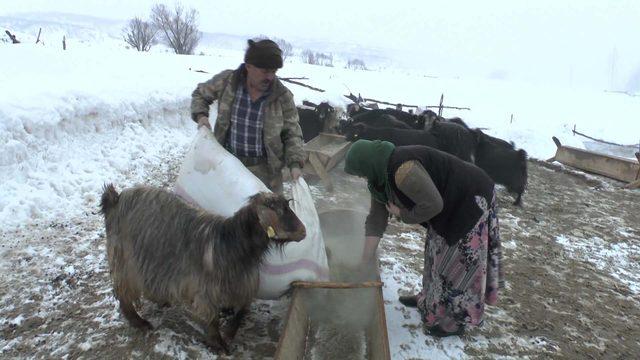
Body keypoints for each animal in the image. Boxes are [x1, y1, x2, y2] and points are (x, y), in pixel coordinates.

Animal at [100, 184, 308, 352]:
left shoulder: (242, 286)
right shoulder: (206, 291)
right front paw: (219, 344)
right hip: (125, 261)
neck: (230, 244)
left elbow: (241, 311)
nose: (303, 232)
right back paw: (140, 322)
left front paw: (229, 332)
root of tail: (115, 199)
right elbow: (212, 319)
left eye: (287, 206)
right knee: (123, 292)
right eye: (279, 210)